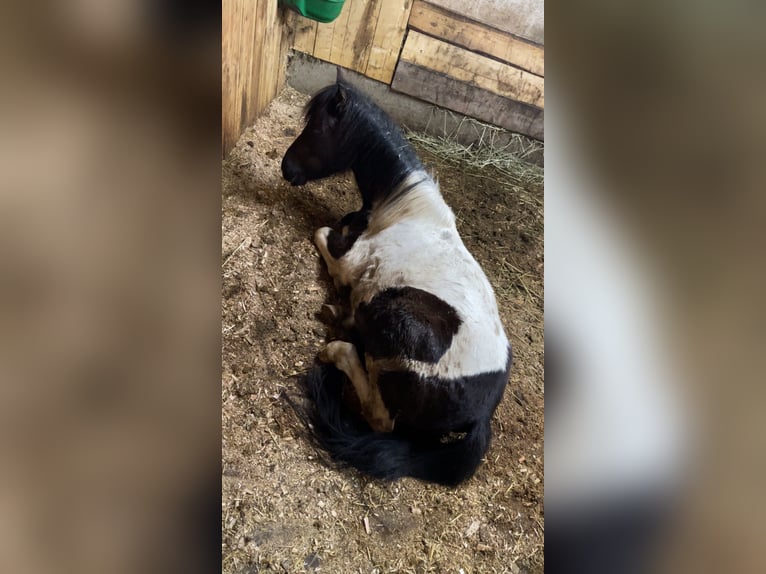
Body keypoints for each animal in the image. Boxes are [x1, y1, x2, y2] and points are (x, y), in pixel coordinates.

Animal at [280, 70, 512, 488]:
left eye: (318, 128)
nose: (286, 169)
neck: (402, 209)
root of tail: (481, 415)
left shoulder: (349, 260)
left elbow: (322, 234)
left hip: (393, 324)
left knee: (379, 416)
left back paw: (337, 342)